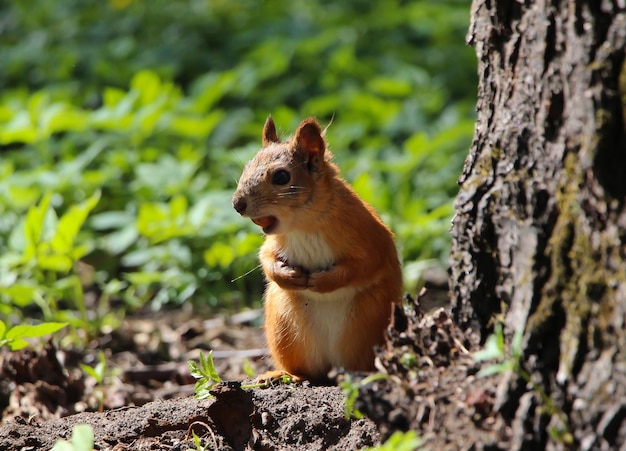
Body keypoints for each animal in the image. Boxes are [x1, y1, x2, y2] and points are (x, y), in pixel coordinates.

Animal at [232, 118, 402, 384]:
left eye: (281, 176)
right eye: (248, 165)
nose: (237, 204)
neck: (303, 226)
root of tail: (332, 364)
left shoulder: (371, 238)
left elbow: (366, 265)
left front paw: (322, 281)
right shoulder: (274, 241)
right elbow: (265, 257)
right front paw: (285, 274)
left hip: (370, 321)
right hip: (285, 327)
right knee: (307, 371)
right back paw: (284, 374)